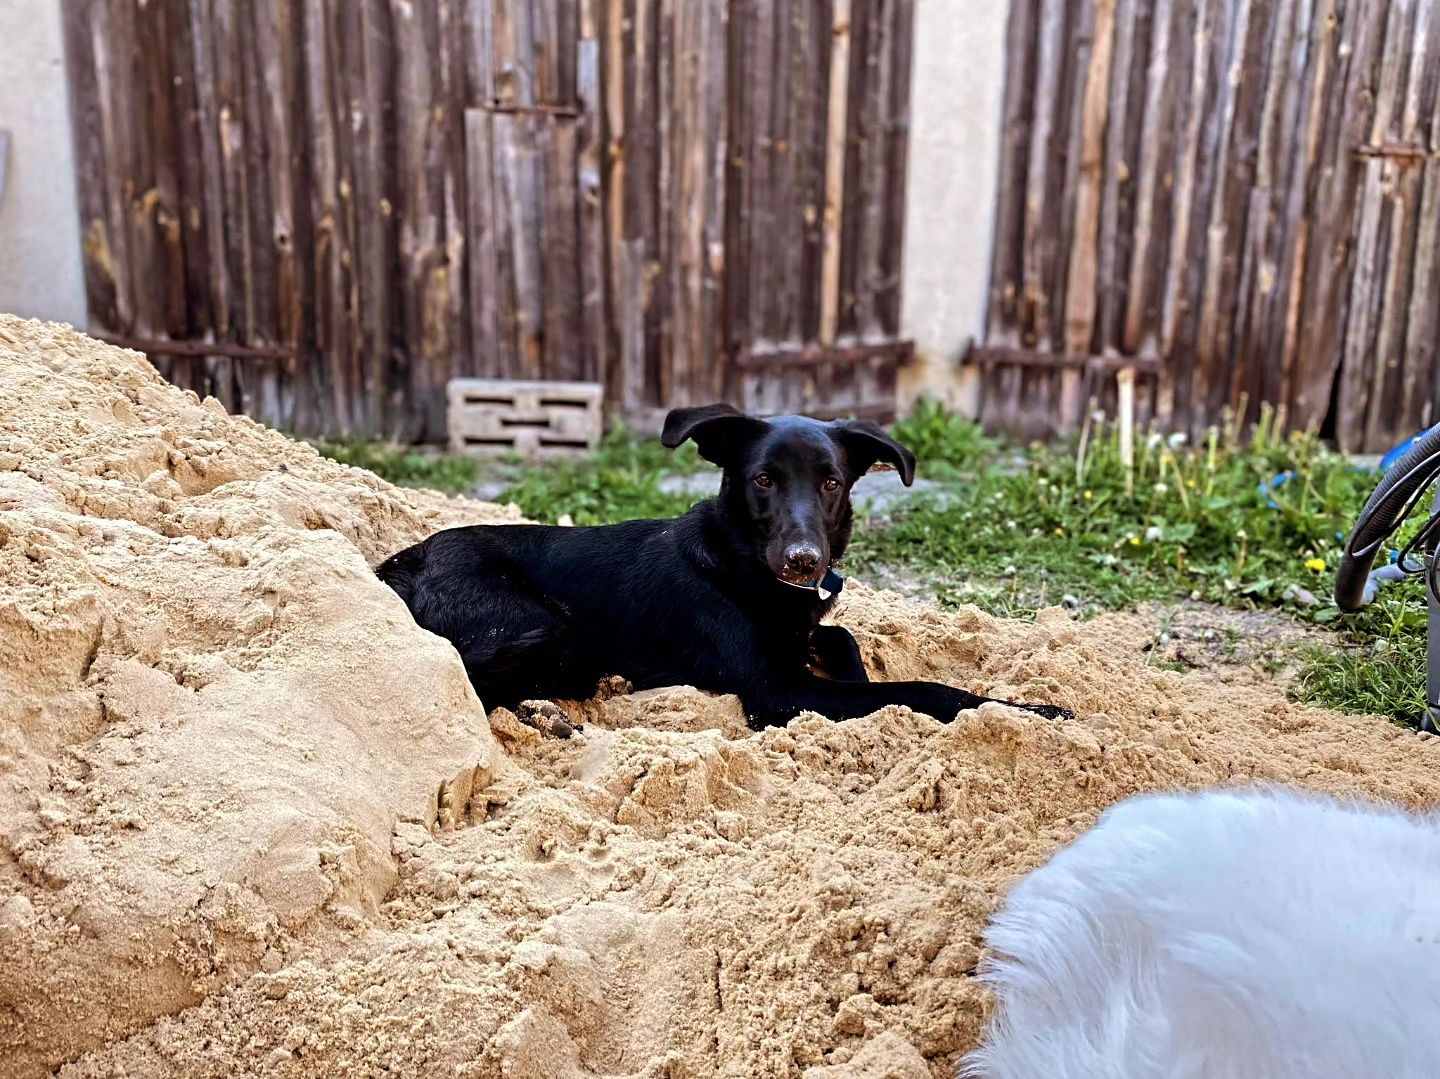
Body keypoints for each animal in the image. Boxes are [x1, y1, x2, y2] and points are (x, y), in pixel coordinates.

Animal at [377, 409, 1077, 728]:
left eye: (830, 482)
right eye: (763, 480)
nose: (804, 560)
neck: (744, 565)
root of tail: (393, 567)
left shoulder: (804, 637)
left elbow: (843, 636)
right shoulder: (778, 691)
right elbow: (922, 690)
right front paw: (1035, 712)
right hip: (541, 622)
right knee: (466, 680)